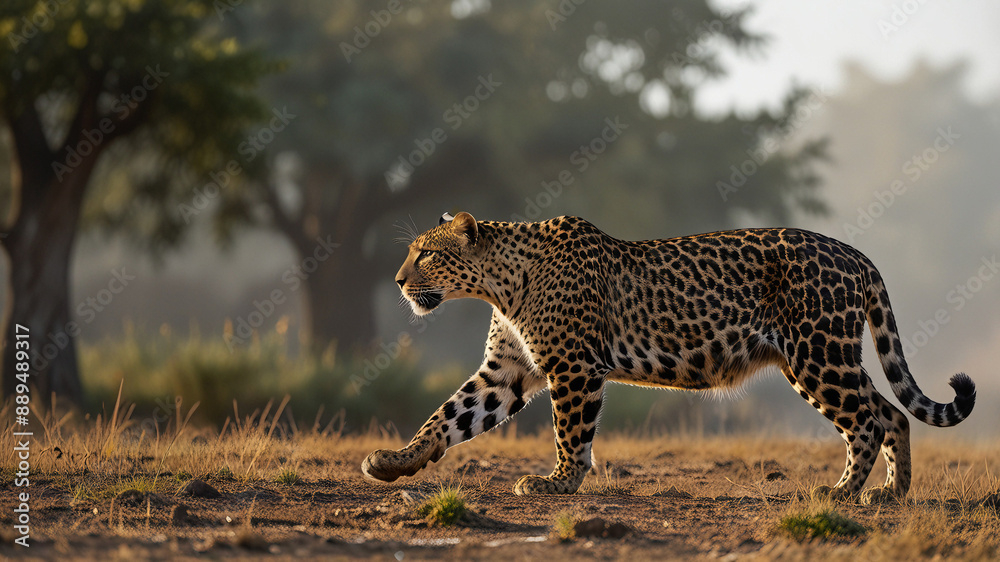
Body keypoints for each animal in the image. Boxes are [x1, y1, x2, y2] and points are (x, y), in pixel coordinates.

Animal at [362, 212, 976, 503]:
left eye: (427, 254)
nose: (396, 281)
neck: (500, 286)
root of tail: (856, 253)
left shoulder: (574, 368)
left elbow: (570, 432)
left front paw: (559, 483)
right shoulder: (507, 372)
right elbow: (447, 416)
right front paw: (396, 462)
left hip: (818, 355)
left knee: (868, 420)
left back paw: (844, 492)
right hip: (826, 357)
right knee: (891, 412)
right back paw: (892, 493)